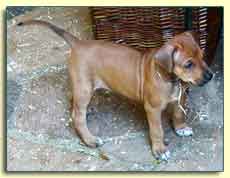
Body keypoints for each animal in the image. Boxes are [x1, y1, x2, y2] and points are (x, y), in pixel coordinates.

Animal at [18, 19, 214, 160]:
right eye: (188, 64)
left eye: (202, 56)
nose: (210, 76)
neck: (171, 79)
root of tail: (79, 43)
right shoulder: (152, 109)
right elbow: (157, 130)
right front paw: (159, 150)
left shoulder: (181, 97)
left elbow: (179, 114)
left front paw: (181, 128)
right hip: (84, 87)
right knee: (77, 116)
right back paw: (90, 140)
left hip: (82, 86)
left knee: (73, 103)